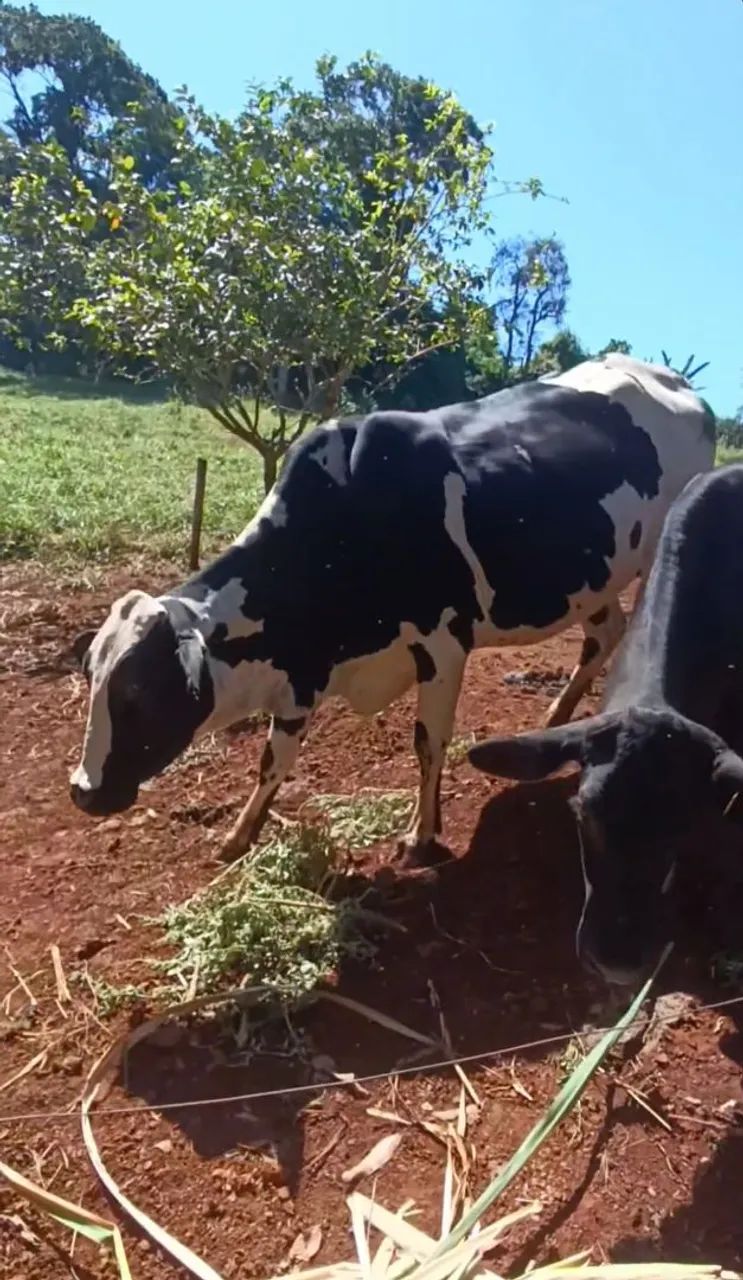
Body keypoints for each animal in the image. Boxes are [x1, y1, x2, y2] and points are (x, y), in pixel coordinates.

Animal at [70, 354, 715, 863]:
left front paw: (421, 836)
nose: (82, 790)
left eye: (137, 693)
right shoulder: (301, 669)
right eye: (92, 677)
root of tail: (676, 382)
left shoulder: (443, 644)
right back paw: (556, 718)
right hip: (595, 577)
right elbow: (274, 757)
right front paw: (239, 835)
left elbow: (428, 742)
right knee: (603, 634)